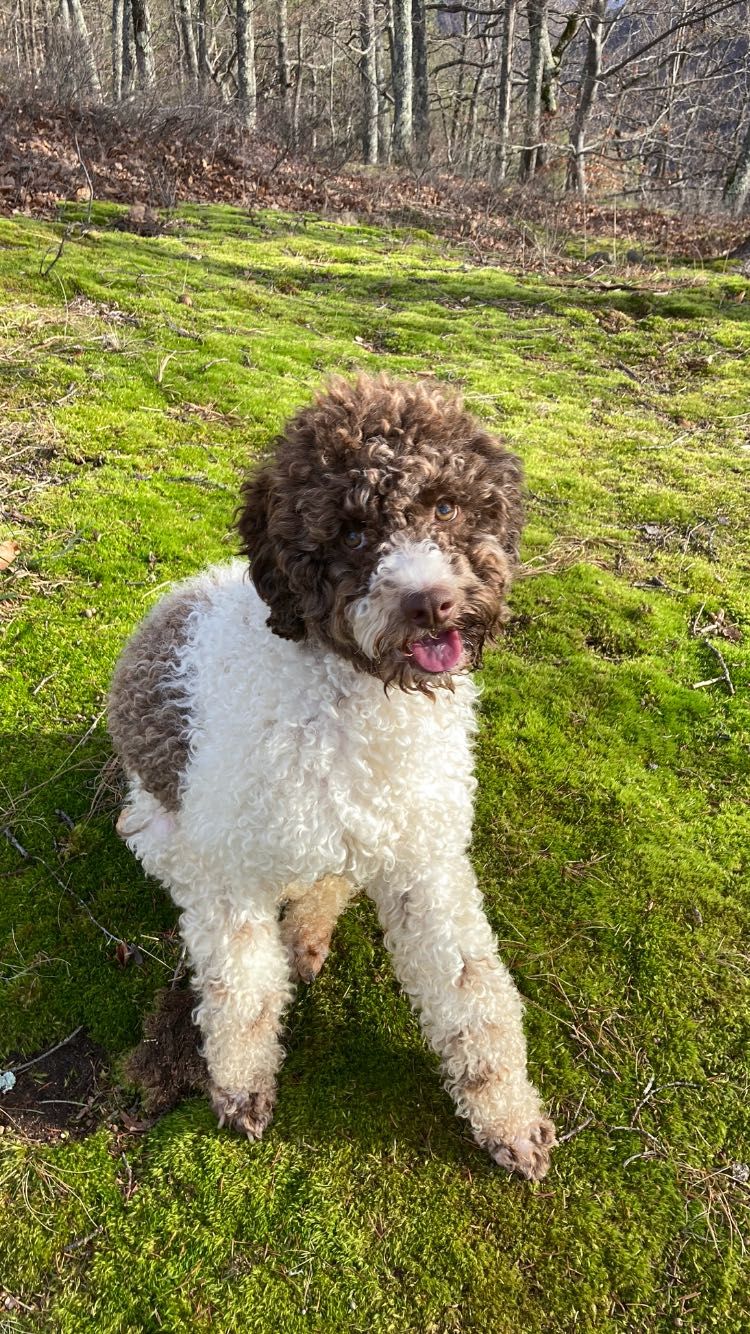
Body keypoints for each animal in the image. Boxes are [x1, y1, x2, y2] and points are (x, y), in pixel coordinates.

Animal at [110, 373, 555, 1179]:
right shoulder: (228, 871)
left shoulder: (424, 858)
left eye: (445, 507)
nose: (431, 603)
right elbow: (243, 991)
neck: (358, 700)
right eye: (350, 535)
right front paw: (240, 1086)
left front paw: (507, 1117)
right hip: (155, 827)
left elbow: (472, 991)